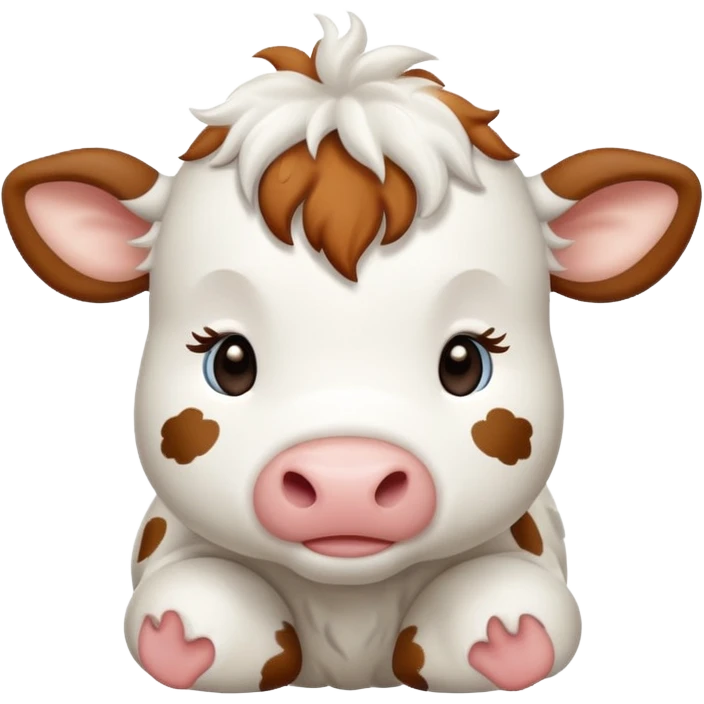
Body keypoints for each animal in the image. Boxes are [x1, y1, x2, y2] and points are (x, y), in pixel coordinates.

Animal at [2, 10, 700, 695]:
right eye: (228, 361)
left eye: (466, 361)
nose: (346, 477)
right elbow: (180, 597)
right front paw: (184, 631)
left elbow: (528, 604)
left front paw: (503, 630)